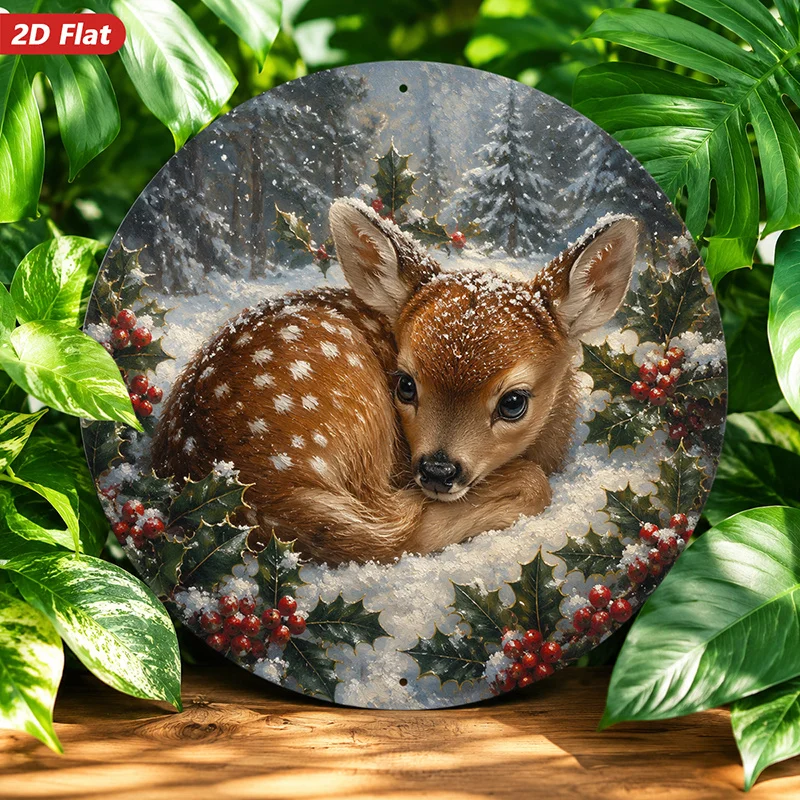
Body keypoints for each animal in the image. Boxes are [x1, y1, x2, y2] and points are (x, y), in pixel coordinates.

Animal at [151, 199, 639, 565]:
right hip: (351, 405)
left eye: (514, 401)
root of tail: (262, 494)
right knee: (398, 536)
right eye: (405, 383)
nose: (438, 471)